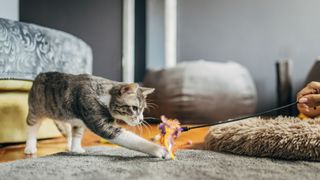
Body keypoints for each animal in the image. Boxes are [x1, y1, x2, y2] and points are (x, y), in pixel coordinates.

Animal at [23, 71, 169, 159]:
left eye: (143, 109)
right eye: (134, 108)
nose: (140, 120)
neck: (105, 96)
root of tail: (39, 74)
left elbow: (77, 133)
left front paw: (76, 149)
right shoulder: (97, 118)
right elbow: (129, 138)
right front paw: (159, 150)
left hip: (67, 117)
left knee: (71, 130)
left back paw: (72, 146)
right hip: (35, 109)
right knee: (32, 126)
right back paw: (30, 147)